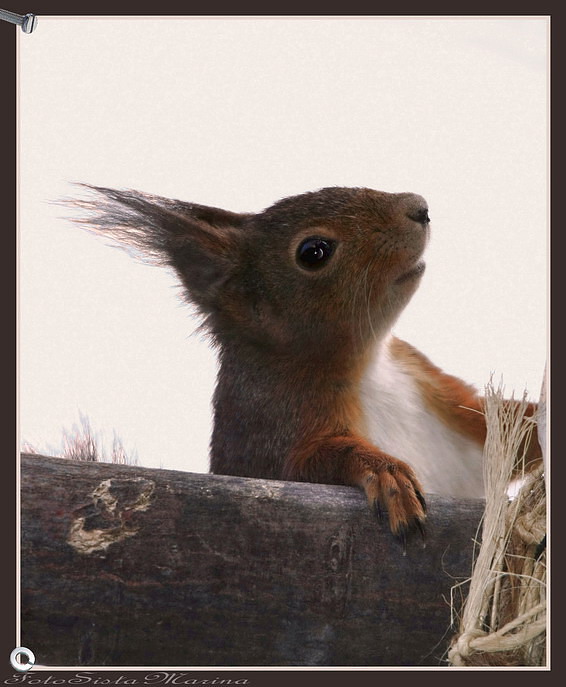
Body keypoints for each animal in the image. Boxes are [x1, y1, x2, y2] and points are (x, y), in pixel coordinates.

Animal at [72, 185, 540, 540]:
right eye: (314, 251)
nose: (418, 206)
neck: (371, 368)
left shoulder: (430, 385)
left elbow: (501, 430)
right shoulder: (274, 432)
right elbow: (312, 461)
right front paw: (384, 472)